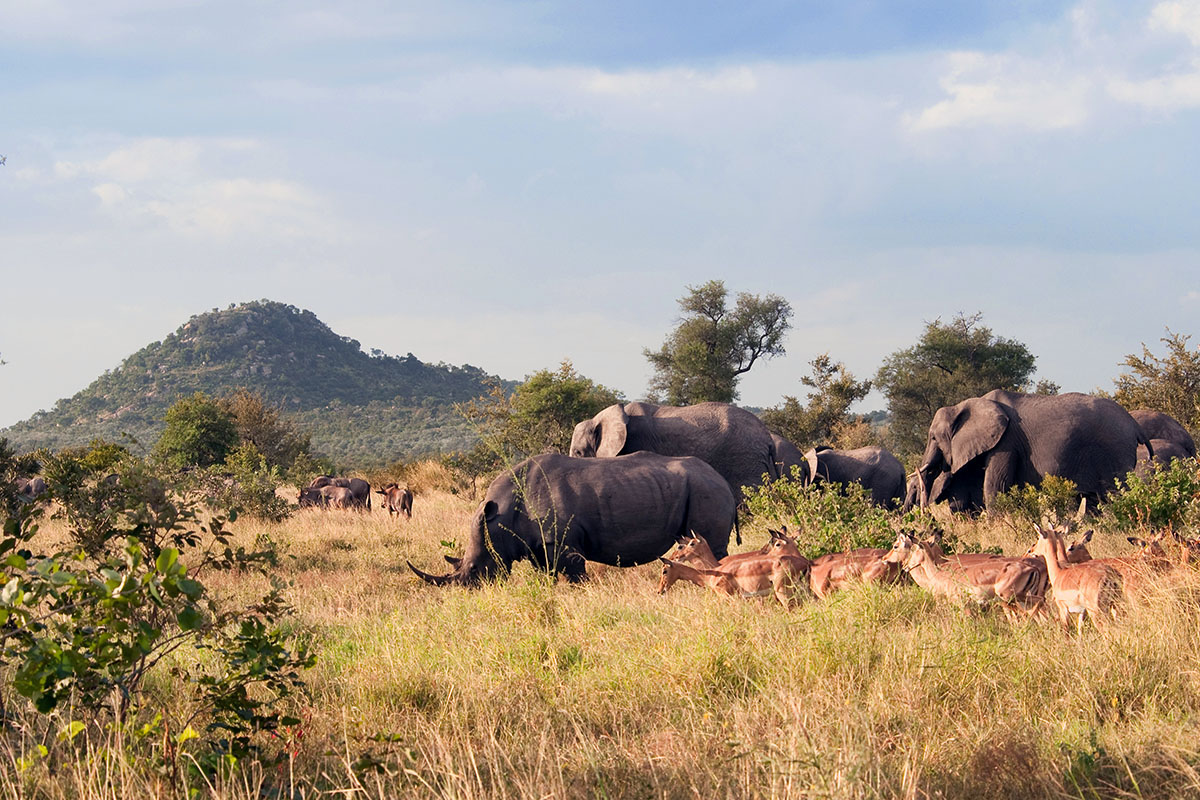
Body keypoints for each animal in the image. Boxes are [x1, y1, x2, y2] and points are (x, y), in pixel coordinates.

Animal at [408, 452, 737, 586]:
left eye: (475, 568)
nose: (469, 591)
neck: (501, 515)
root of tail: (723, 480)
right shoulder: (539, 545)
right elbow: (547, 575)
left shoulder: (562, 542)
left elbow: (575, 574)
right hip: (700, 487)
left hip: (707, 490)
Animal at [916, 390, 1149, 514]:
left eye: (933, 437)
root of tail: (1134, 424)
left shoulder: (1006, 442)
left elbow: (995, 486)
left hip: (1114, 451)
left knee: (1114, 495)